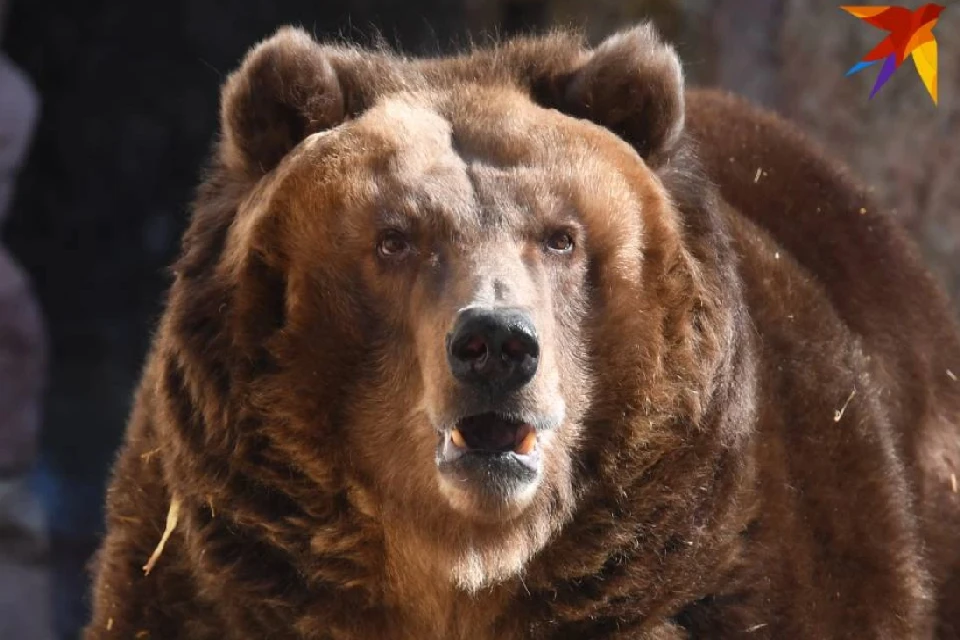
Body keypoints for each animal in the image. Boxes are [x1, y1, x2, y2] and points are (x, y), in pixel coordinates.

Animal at [82, 22, 960, 636]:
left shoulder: (738, 573)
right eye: (395, 238)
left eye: (560, 236)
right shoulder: (207, 585)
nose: (498, 346)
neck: (465, 568)